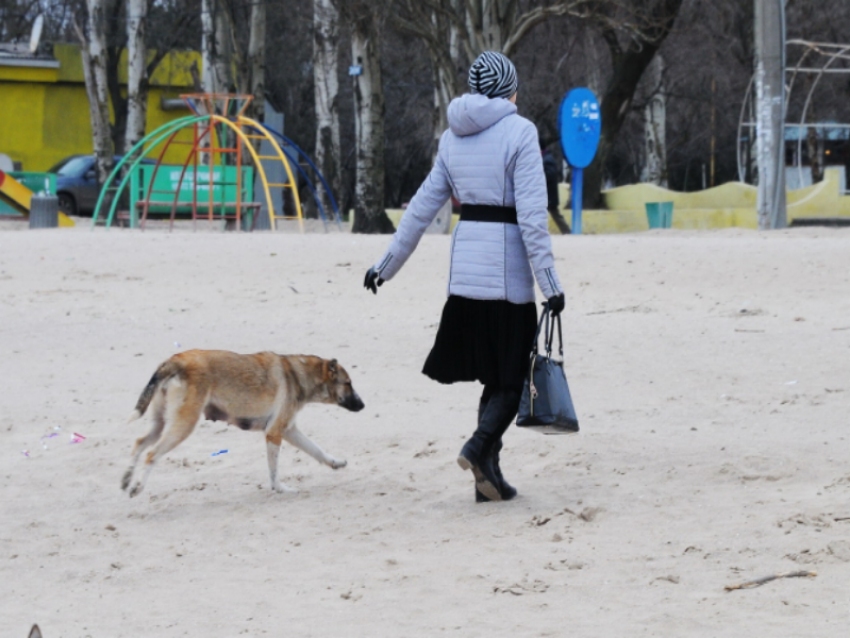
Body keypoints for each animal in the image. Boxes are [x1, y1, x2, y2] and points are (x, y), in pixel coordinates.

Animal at [121, 352, 362, 498]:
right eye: (348, 383)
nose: (363, 405)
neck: (298, 374)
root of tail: (175, 359)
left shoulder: (289, 431)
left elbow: (317, 450)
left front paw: (335, 463)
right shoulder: (274, 433)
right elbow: (274, 471)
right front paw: (279, 488)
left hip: (160, 423)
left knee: (139, 443)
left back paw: (126, 479)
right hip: (182, 426)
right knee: (151, 454)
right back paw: (137, 486)